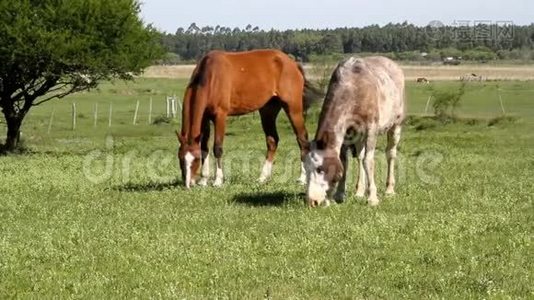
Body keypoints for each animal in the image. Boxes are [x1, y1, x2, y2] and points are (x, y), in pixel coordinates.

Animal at [178, 49, 316, 188]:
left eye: (195, 160)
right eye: (180, 158)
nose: (188, 183)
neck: (211, 76)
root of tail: (293, 64)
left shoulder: (220, 116)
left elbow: (217, 147)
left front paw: (218, 180)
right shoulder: (205, 118)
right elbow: (204, 148)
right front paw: (203, 180)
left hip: (293, 108)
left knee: (302, 139)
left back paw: (302, 178)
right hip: (268, 110)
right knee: (272, 141)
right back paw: (263, 177)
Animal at [306, 55, 406, 206]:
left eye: (319, 169)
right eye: (305, 168)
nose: (313, 201)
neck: (353, 87)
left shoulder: (371, 129)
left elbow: (368, 161)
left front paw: (372, 198)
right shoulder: (346, 133)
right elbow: (344, 161)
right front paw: (339, 195)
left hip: (396, 125)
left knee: (390, 153)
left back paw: (389, 190)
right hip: (358, 135)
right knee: (359, 156)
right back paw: (359, 192)